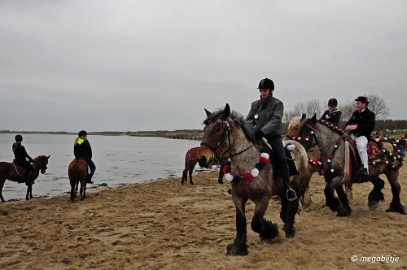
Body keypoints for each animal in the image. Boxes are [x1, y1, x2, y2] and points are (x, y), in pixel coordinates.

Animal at [196, 103, 308, 255]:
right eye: (205, 129)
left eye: (218, 129)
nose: (202, 158)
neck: (247, 163)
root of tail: (297, 144)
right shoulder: (238, 197)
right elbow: (240, 221)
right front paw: (238, 247)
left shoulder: (263, 198)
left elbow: (256, 223)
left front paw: (272, 232)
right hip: (282, 189)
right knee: (286, 204)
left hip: (295, 186)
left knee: (292, 205)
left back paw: (289, 230)